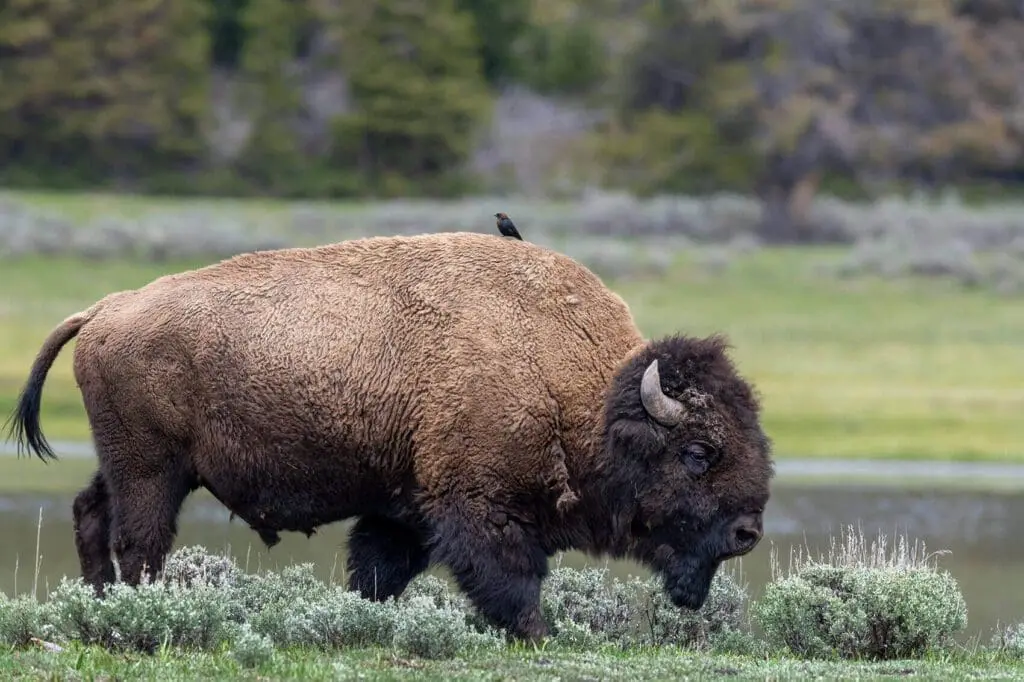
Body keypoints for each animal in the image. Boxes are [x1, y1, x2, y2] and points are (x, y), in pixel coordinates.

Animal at [4, 231, 770, 638]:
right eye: (699, 452)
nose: (747, 532)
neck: (571, 380)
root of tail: (105, 308)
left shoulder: (404, 510)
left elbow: (379, 569)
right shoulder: (478, 507)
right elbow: (509, 576)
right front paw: (537, 631)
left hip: (125, 463)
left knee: (90, 511)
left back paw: (100, 603)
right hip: (153, 470)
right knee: (140, 539)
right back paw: (134, 607)